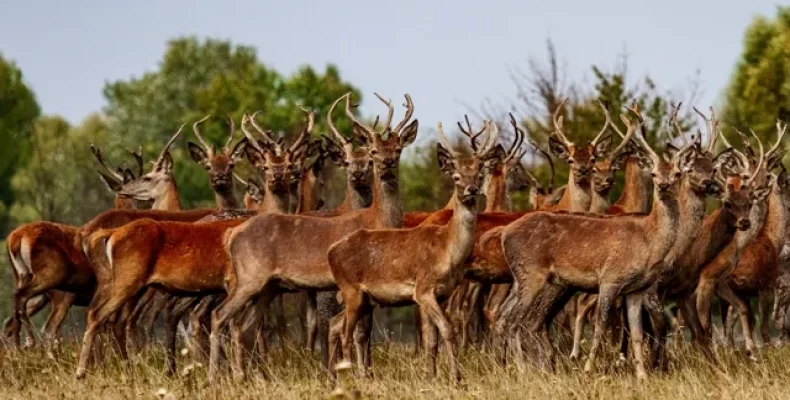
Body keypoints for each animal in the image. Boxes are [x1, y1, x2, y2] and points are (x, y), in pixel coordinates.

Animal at [73, 111, 310, 380]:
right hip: (128, 280)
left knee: (108, 317)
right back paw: (87, 372)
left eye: (291, 165)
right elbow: (237, 325)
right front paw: (240, 373)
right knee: (102, 316)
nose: (281, 177)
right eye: (266, 166)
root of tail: (106, 234)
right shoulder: (234, 282)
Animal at [328, 118, 502, 382]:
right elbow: (447, 330)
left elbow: (432, 339)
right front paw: (456, 377)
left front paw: (432, 376)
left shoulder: (441, 293)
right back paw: (354, 376)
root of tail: (331, 252)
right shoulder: (423, 289)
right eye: (457, 176)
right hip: (351, 290)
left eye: (480, 174)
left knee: (335, 324)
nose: (471, 189)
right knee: (346, 332)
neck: (448, 251)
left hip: (364, 298)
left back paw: (335, 375)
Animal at [502, 109, 700, 378]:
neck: (649, 243)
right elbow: (599, 326)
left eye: (677, 174)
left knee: (511, 319)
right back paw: (523, 370)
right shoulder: (610, 278)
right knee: (514, 321)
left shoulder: (636, 289)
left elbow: (637, 334)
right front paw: (588, 367)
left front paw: (642, 375)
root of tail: (505, 234)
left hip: (522, 278)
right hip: (531, 273)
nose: (664, 185)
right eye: (654, 174)